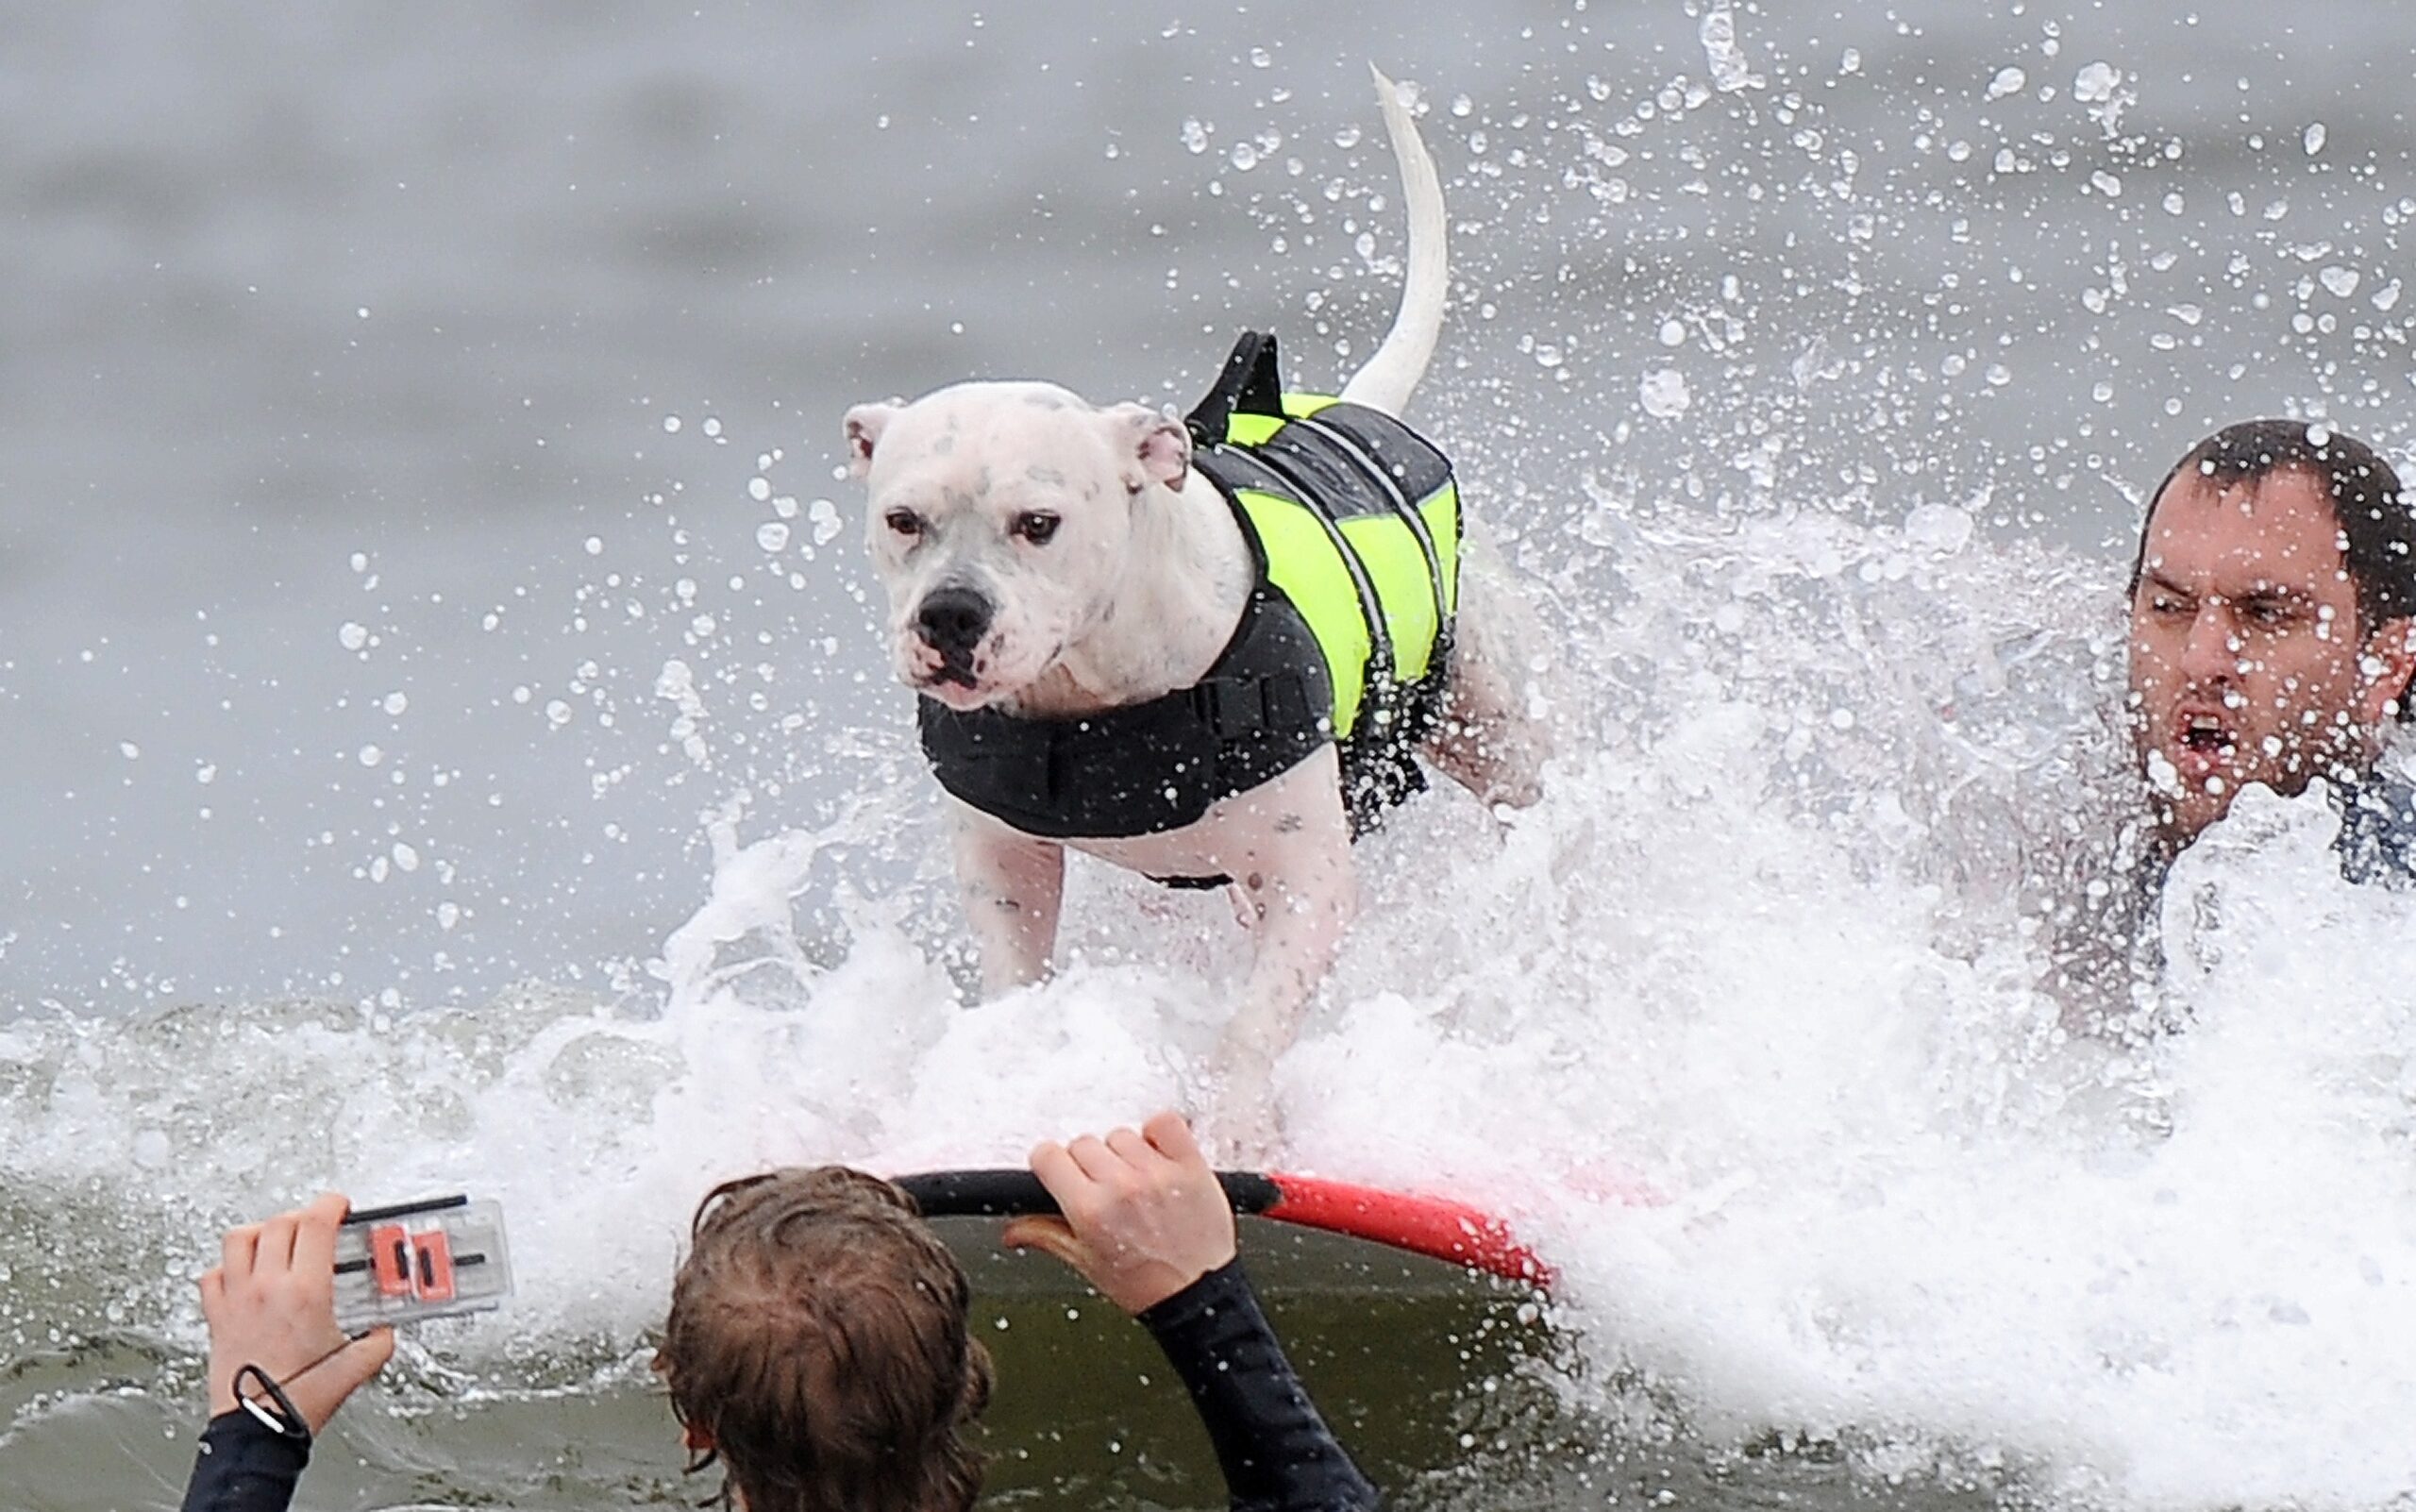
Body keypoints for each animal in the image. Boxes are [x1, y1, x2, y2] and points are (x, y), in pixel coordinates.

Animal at [840, 64, 1536, 1134]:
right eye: (903, 519)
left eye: (1038, 523)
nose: (951, 615)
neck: (1091, 688)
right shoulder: (1003, 863)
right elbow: (1013, 971)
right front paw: (1013, 1073)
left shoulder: (1307, 876)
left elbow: (1256, 1017)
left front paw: (1236, 1120)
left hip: (1498, 726)